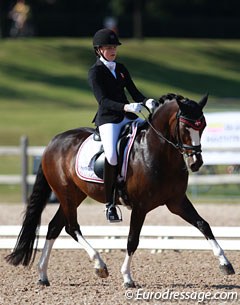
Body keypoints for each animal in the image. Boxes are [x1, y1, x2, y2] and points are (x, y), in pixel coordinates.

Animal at [5, 92, 234, 284]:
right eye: (186, 126)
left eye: (203, 126)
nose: (196, 163)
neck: (157, 151)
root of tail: (53, 142)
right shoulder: (141, 206)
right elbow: (132, 240)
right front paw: (127, 277)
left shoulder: (176, 201)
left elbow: (203, 224)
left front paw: (226, 264)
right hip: (66, 193)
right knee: (72, 227)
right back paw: (99, 266)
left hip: (74, 195)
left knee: (54, 226)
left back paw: (43, 275)